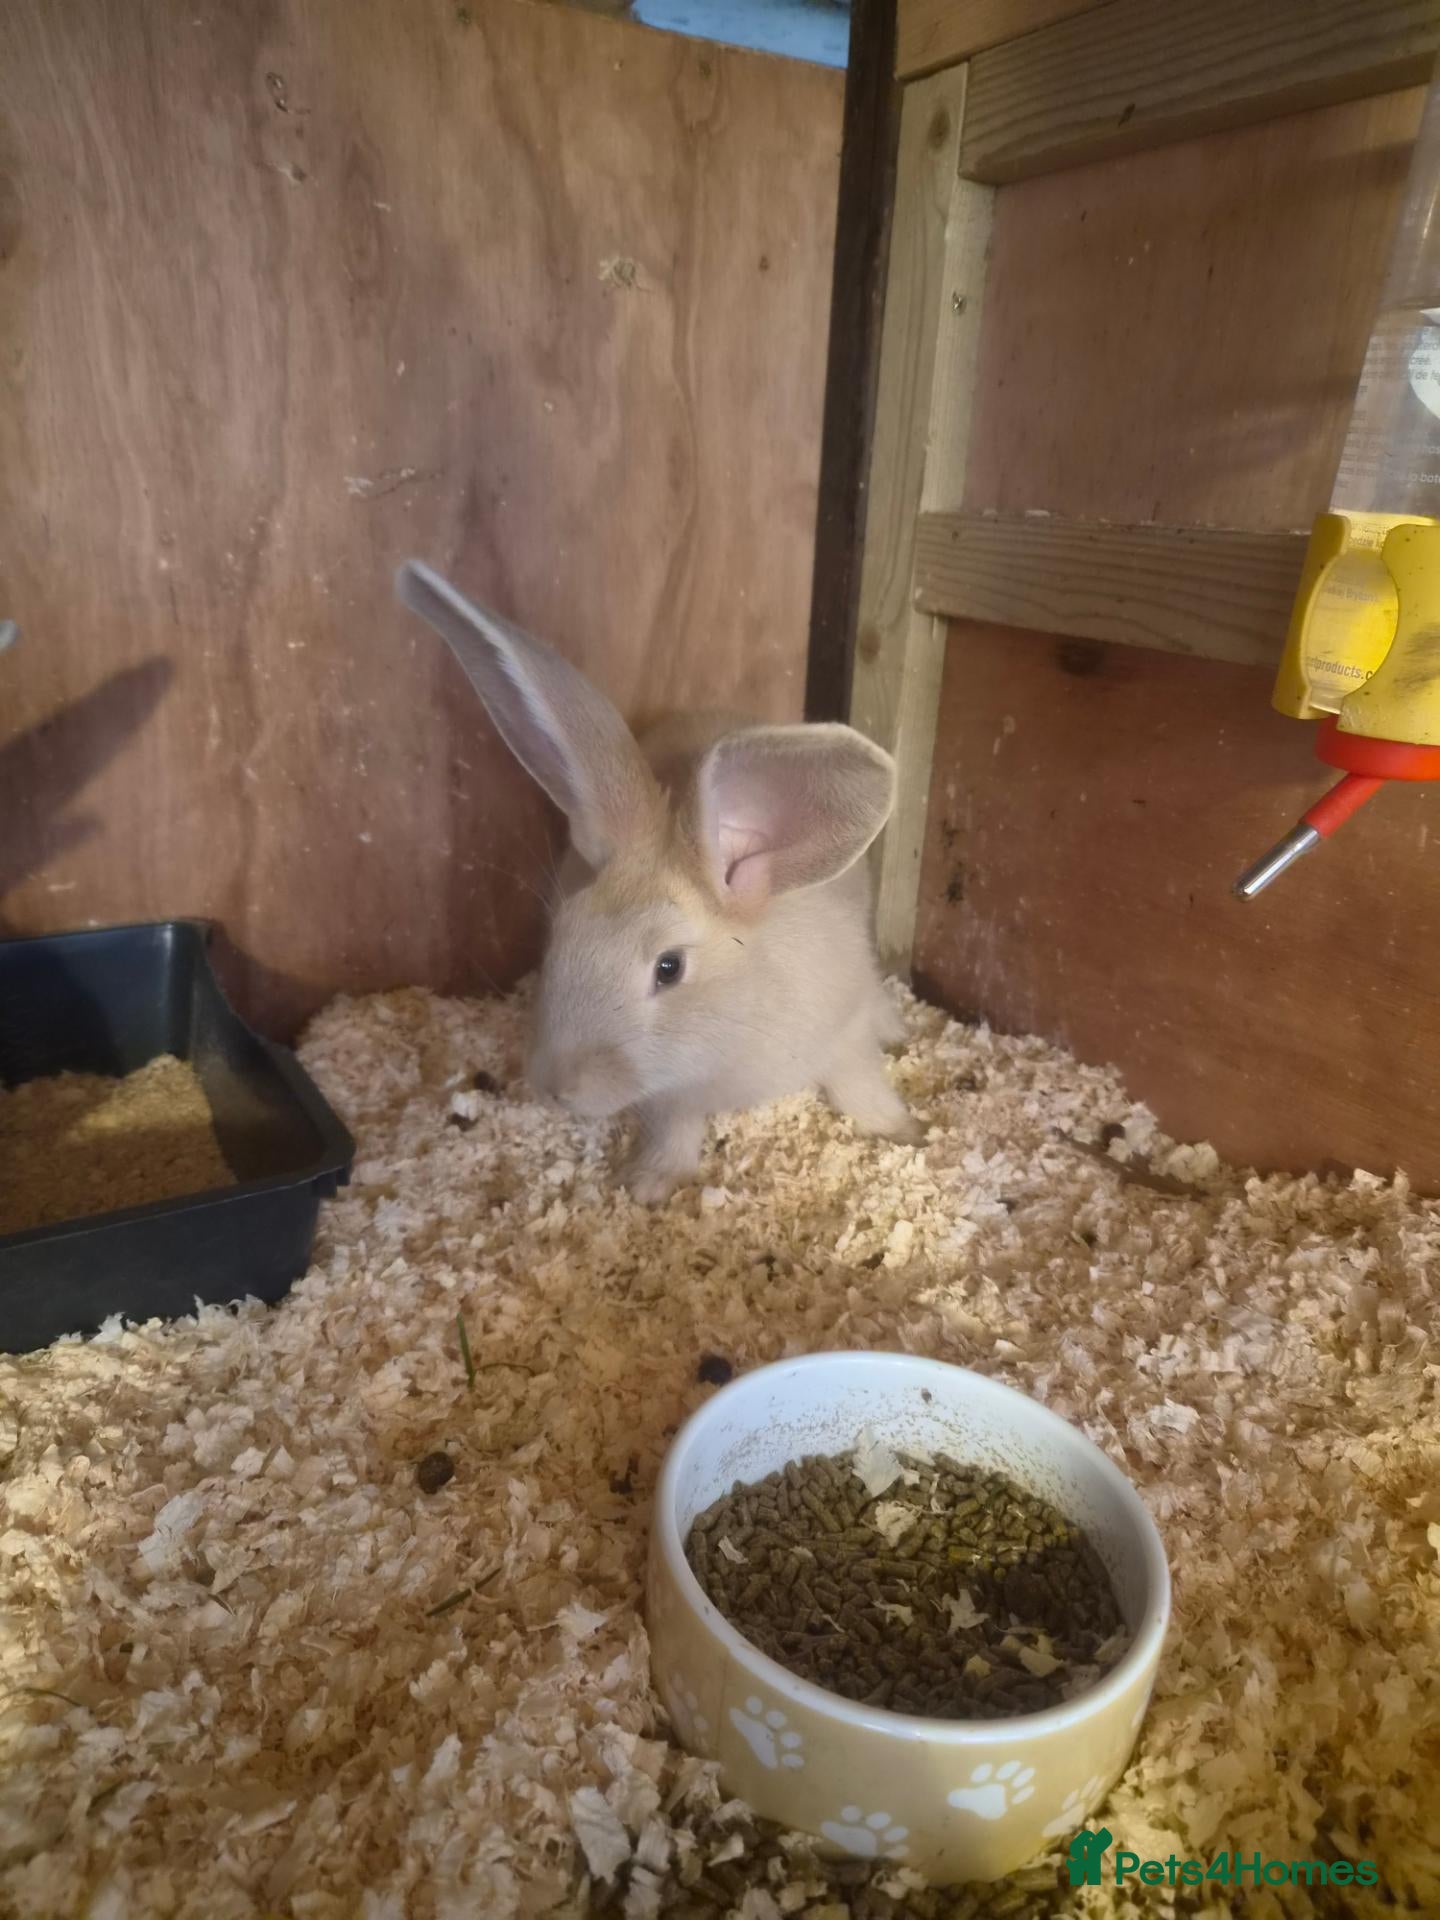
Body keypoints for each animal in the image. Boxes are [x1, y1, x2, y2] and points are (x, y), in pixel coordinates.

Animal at [395, 560, 920, 1202]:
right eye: (558, 936)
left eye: (668, 968)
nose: (556, 1087)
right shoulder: (673, 1099)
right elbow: (676, 1132)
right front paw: (648, 1184)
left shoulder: (842, 1042)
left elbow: (860, 1086)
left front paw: (902, 1131)